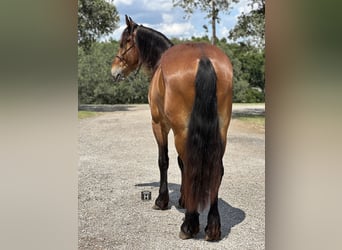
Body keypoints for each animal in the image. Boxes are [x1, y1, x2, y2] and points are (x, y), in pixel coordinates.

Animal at [111, 15, 232, 240]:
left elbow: (164, 161)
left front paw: (162, 200)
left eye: (124, 43)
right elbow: (180, 162)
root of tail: (203, 59)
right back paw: (212, 227)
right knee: (215, 169)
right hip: (220, 131)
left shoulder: (160, 125)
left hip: (181, 131)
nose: (114, 70)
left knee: (192, 164)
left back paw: (189, 225)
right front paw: (183, 199)